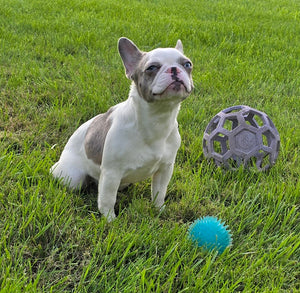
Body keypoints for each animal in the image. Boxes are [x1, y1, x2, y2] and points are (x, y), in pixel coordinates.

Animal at [50, 37, 193, 220]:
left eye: (187, 64)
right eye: (152, 68)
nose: (174, 69)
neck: (156, 119)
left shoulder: (165, 169)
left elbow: (159, 192)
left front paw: (159, 210)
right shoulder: (112, 173)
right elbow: (108, 199)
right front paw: (110, 220)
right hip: (72, 177)